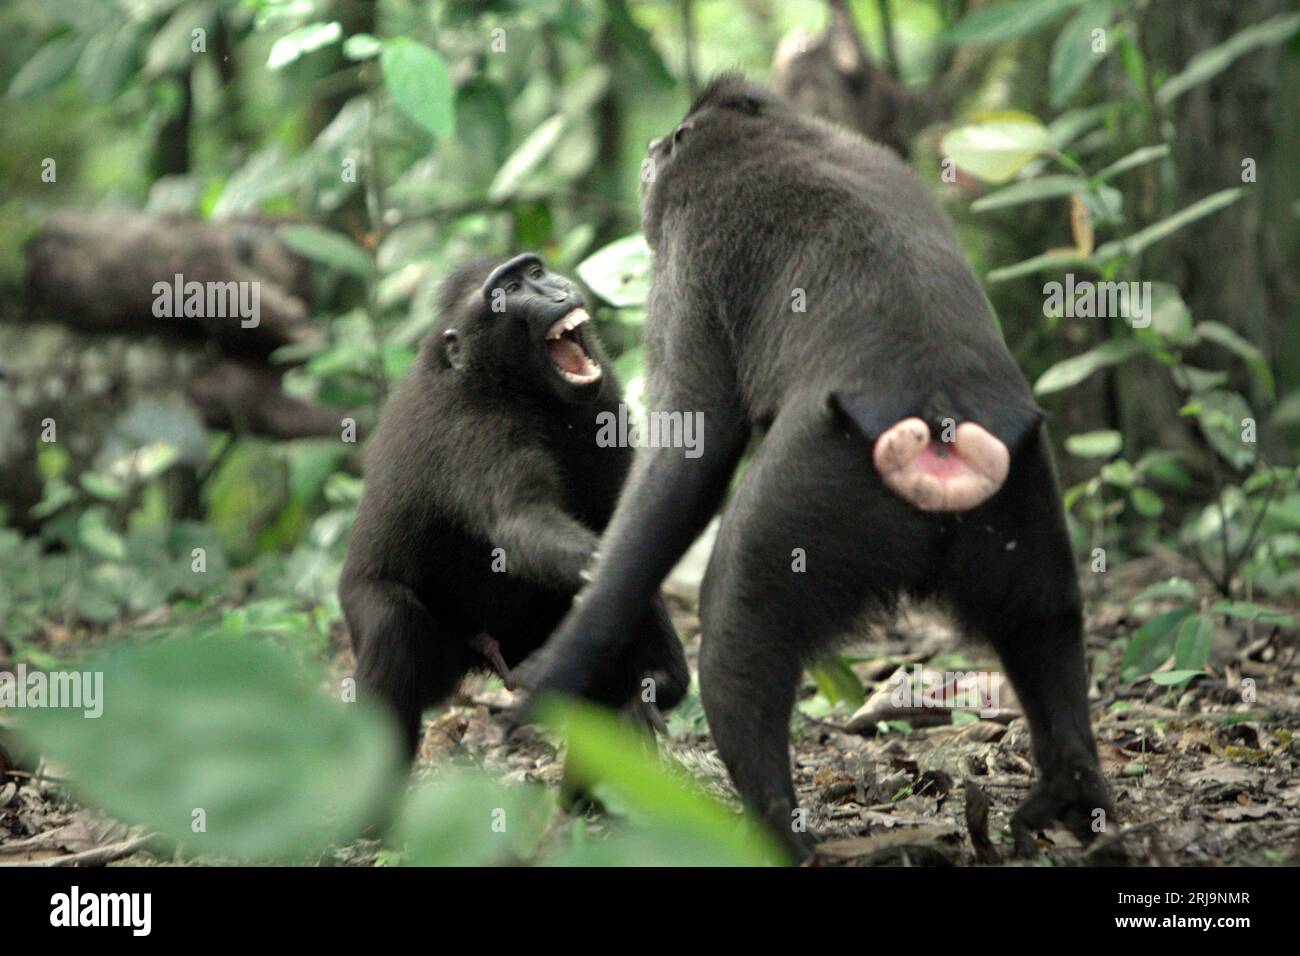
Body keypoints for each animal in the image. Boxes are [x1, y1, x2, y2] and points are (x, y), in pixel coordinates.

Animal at [339, 253, 689, 756]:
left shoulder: (604, 399)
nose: (556, 293)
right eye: (508, 290)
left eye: (535, 274)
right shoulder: (477, 431)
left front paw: (663, 674)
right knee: (391, 625)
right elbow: (521, 523)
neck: (516, 388)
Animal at [528, 75, 1112, 860]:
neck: (766, 134)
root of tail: (937, 424)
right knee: (1043, 617)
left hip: (810, 494)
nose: (650, 151)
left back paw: (777, 830)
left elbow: (691, 449)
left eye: (665, 145)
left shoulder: (688, 250)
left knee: (740, 622)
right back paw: (1072, 786)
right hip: (1017, 485)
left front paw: (569, 658)